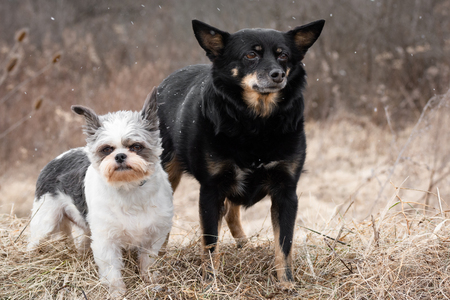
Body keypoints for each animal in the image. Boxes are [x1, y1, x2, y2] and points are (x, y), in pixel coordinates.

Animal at [27, 88, 173, 296]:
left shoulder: (155, 235)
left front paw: (150, 281)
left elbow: (148, 261)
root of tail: (57, 158)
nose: (120, 156)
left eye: (136, 146)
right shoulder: (106, 241)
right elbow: (112, 272)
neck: (128, 188)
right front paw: (117, 292)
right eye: (106, 149)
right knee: (33, 242)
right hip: (45, 222)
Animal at [157, 18, 324, 286]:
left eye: (284, 56)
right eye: (250, 55)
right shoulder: (211, 190)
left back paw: (244, 244)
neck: (257, 123)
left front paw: (286, 282)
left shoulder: (286, 191)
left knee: (232, 213)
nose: (277, 75)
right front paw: (210, 282)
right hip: (167, 172)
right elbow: (210, 242)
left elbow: (284, 243)